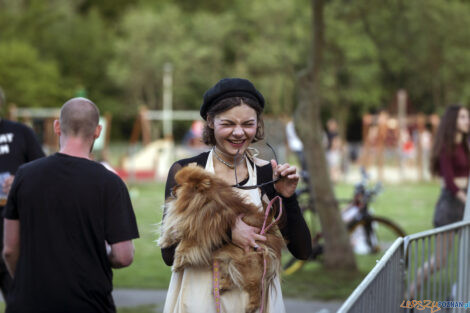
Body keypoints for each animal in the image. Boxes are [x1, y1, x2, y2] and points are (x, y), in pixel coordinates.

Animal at [158, 165, 284, 310]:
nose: (171, 189)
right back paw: (221, 287)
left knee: (256, 286)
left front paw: (177, 264)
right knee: (233, 276)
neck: (200, 201)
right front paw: (165, 241)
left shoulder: (200, 234)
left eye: (179, 185)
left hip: (247, 262)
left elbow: (183, 246)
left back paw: (251, 306)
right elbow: (173, 230)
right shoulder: (185, 223)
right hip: (232, 259)